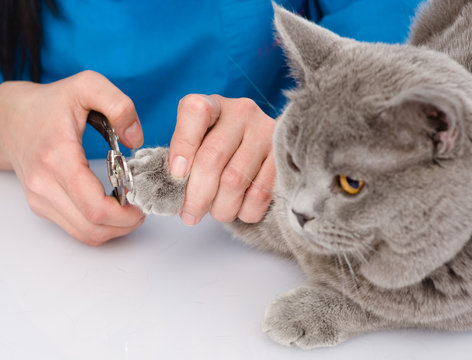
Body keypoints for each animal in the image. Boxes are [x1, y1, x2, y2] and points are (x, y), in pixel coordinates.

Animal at [126, 0, 472, 348]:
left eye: (352, 183)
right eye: (293, 161)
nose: (300, 214)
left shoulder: (450, 305)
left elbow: (386, 307)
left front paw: (304, 313)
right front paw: (156, 173)